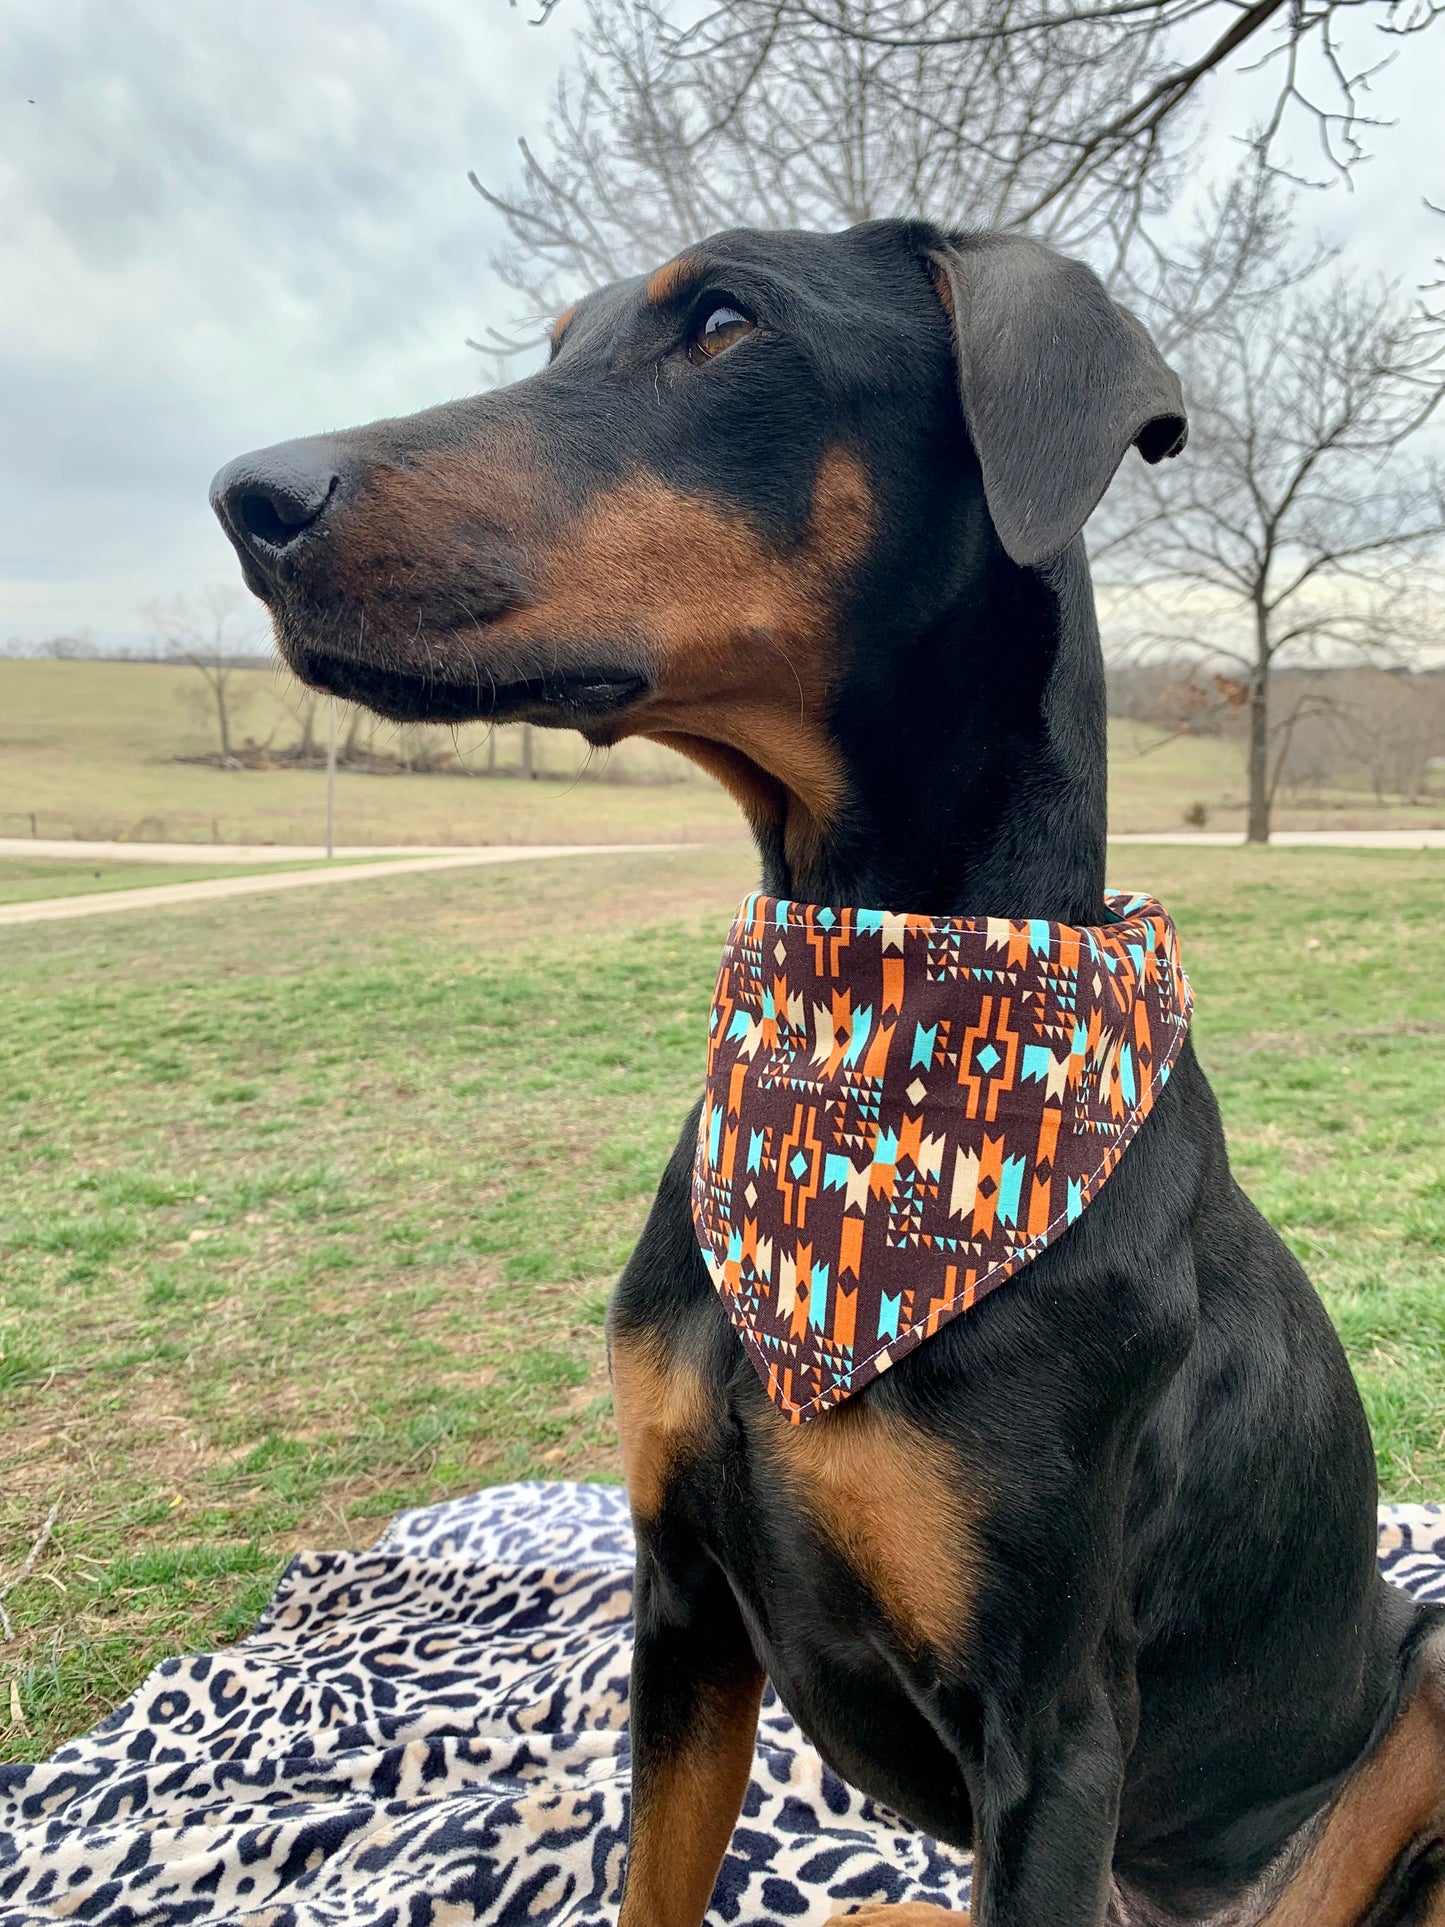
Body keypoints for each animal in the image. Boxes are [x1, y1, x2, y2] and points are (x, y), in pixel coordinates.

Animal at [211, 221, 1445, 1927]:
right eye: (558, 340)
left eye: (726, 321)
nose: (246, 496)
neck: (854, 1043)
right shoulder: (680, 1606)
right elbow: (653, 1879)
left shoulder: (1053, 1731)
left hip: (1412, 1675)